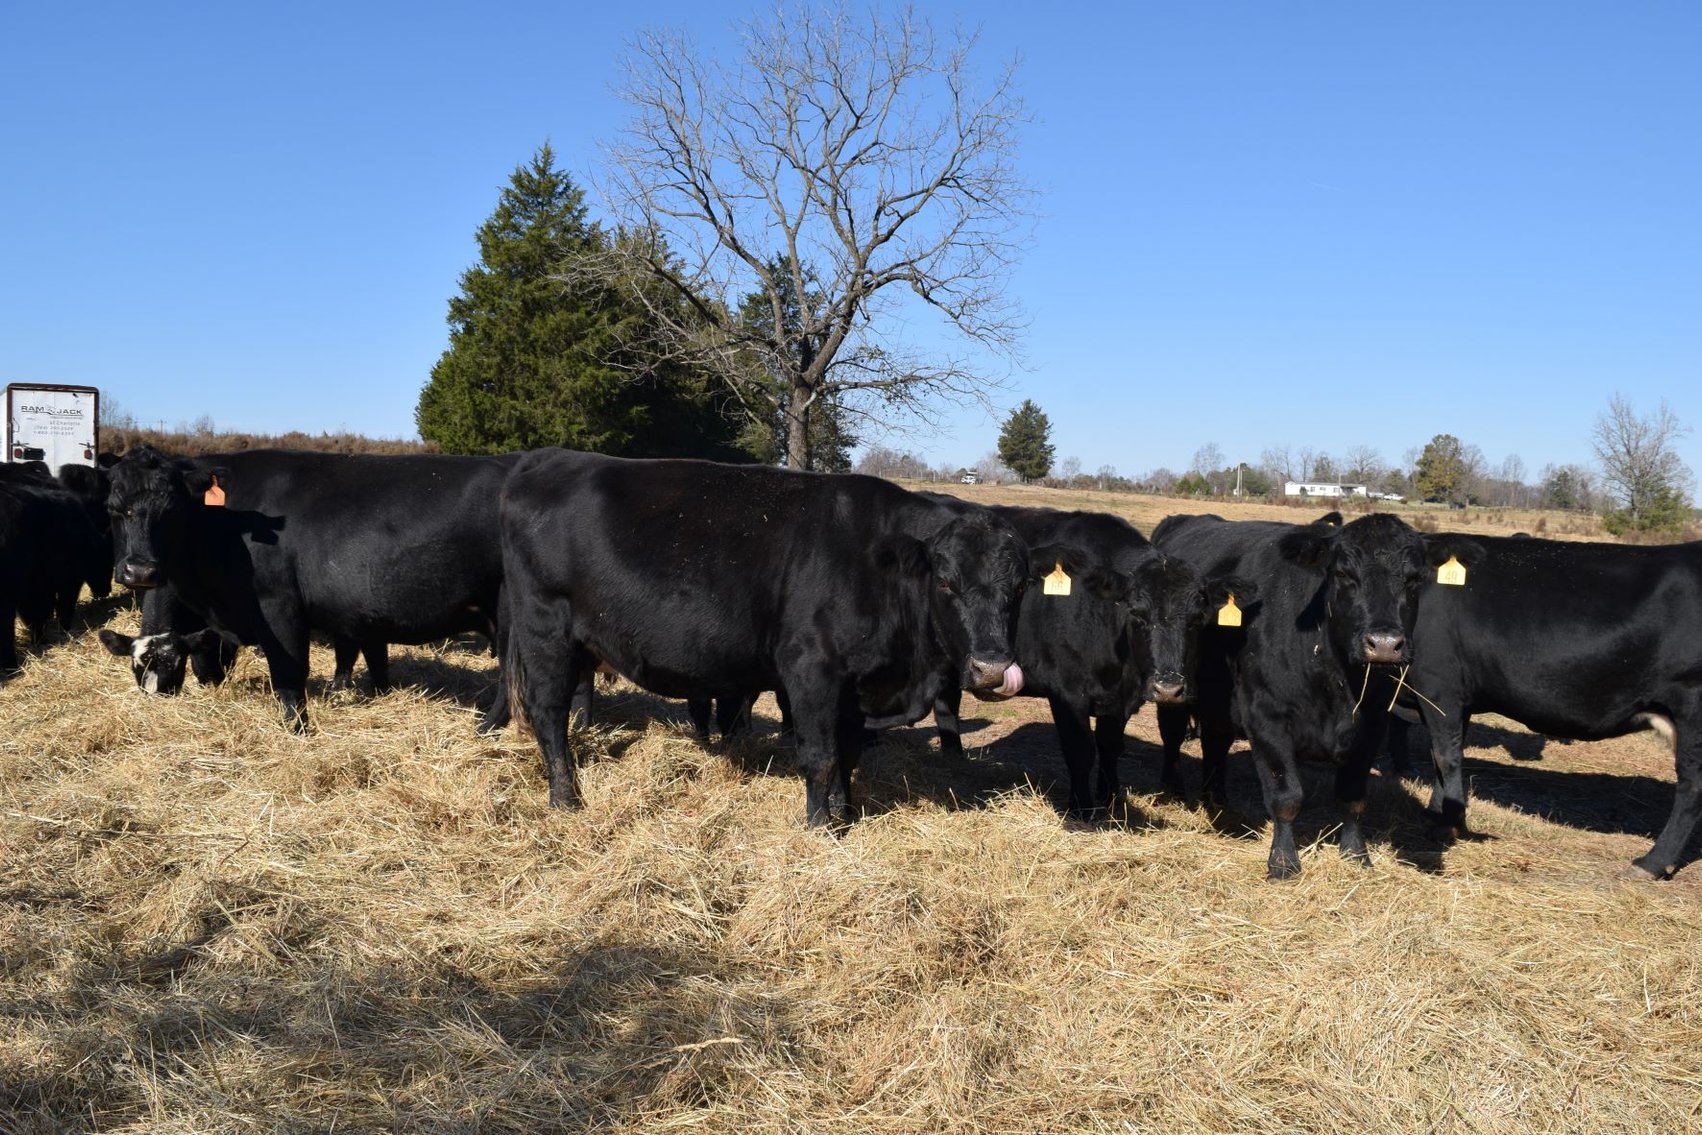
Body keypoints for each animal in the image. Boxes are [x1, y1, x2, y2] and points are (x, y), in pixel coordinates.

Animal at [104, 446, 516, 731]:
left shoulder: (277, 606)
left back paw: (485, 729)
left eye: (172, 510)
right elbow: (370, 659)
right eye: (112, 509)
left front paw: (298, 729)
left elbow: (289, 673)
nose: (140, 569)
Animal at [499, 449, 1028, 824]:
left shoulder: (854, 687)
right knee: (549, 713)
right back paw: (566, 799)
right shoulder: (811, 671)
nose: (992, 668)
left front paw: (846, 816)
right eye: (946, 582)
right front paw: (820, 828)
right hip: (547, 632)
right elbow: (819, 757)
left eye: (1020, 585)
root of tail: (546, 459)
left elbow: (847, 755)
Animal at [928, 504, 1252, 820]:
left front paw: (1110, 800)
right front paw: (1081, 808)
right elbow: (1080, 750)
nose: (1169, 688)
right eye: (1137, 614)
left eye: (1197, 619)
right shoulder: (1067, 693)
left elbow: (1109, 746)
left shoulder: (1119, 700)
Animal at [1152, 511, 1481, 878]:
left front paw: (1355, 854)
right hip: (1172, 688)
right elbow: (1286, 797)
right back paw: (1173, 790)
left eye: (1414, 579)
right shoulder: (1265, 716)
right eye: (1343, 574)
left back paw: (1218, 801)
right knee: (1173, 736)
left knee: (1215, 742)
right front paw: (1283, 862)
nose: (1384, 644)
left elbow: (1352, 795)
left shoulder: (1372, 725)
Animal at [1403, 533, 1702, 880]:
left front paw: (1447, 825)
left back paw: (1651, 863)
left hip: (1691, 706)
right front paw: (1436, 815)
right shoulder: (1456, 698)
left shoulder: (1439, 687)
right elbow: (1444, 755)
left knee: (1692, 786)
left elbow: (1445, 757)